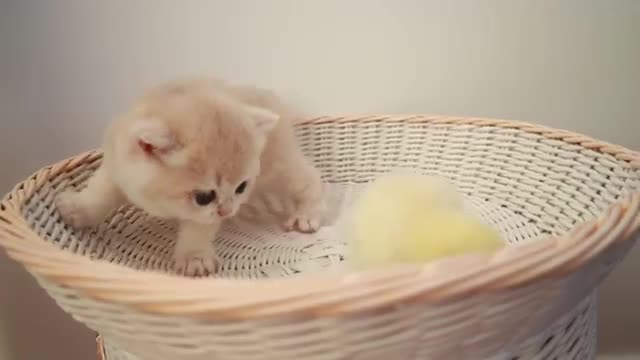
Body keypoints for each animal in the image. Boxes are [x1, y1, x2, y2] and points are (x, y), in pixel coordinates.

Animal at [55, 77, 324, 278]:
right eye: (204, 196)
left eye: (241, 187)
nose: (227, 211)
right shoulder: (116, 166)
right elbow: (99, 192)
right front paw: (76, 209)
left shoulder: (204, 216)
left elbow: (198, 230)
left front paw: (195, 258)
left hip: (278, 167)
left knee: (310, 179)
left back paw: (306, 214)